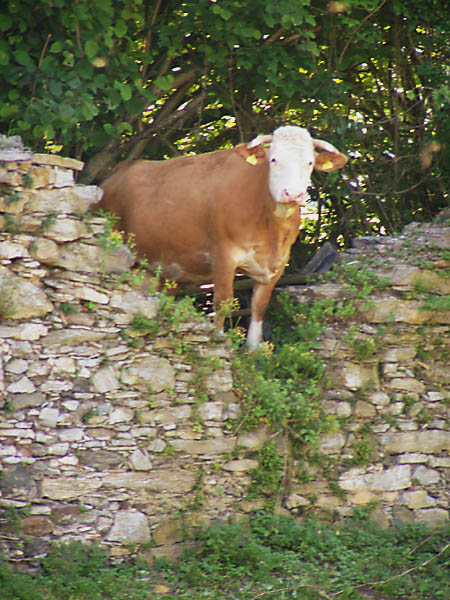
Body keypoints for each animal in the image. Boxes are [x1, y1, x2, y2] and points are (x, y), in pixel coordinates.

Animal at [99, 126, 348, 346]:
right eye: (274, 160)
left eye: (309, 163)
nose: (292, 193)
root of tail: (117, 172)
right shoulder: (223, 254)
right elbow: (224, 300)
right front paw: (218, 340)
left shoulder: (276, 265)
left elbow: (259, 307)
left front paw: (253, 350)